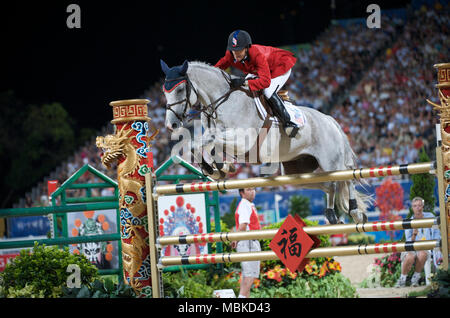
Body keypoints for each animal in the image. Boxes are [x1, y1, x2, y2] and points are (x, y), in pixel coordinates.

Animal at [160, 60, 370, 224]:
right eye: (165, 91)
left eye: (180, 89)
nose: (171, 125)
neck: (223, 102)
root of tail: (329, 120)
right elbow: (205, 144)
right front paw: (218, 168)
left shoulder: (242, 141)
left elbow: (203, 142)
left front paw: (214, 168)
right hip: (298, 171)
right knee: (330, 185)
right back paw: (332, 215)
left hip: (331, 161)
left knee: (347, 177)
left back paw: (355, 212)